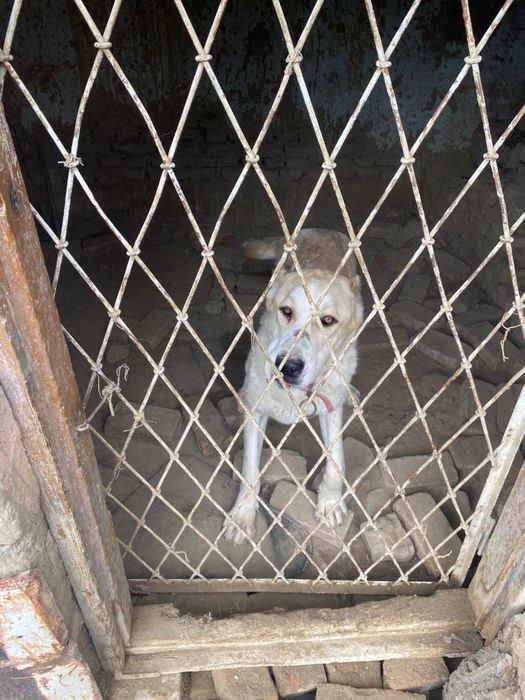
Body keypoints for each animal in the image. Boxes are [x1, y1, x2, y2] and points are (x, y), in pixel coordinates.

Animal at [224, 228, 364, 544]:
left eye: (328, 321)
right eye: (286, 311)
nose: (287, 367)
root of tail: (322, 230)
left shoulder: (329, 408)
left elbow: (337, 460)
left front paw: (330, 502)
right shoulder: (257, 411)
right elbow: (250, 469)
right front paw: (242, 515)